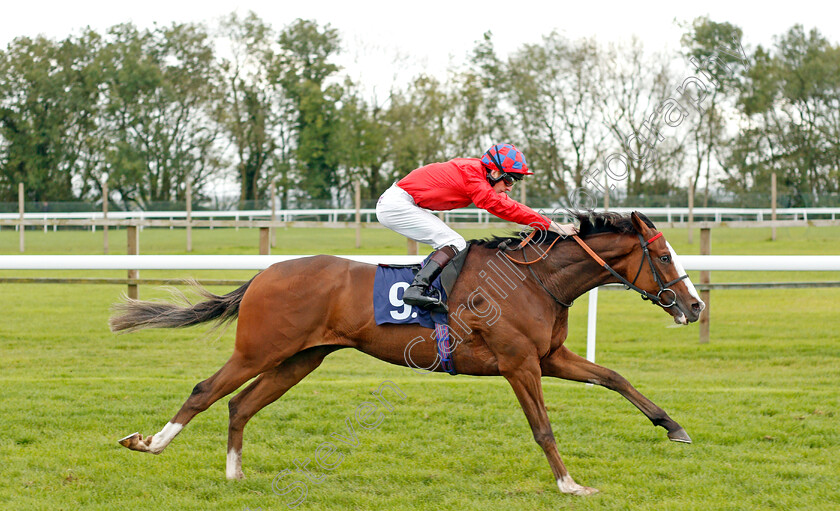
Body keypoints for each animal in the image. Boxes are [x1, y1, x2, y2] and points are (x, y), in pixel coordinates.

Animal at [110, 211, 704, 496]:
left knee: (240, 404)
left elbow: (615, 376)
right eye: (662, 256)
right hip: (261, 349)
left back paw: (235, 475)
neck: (535, 281)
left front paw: (673, 426)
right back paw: (149, 443)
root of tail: (263, 275)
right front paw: (570, 484)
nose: (695, 306)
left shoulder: (549, 357)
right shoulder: (519, 365)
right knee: (205, 391)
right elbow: (543, 428)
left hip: (301, 358)